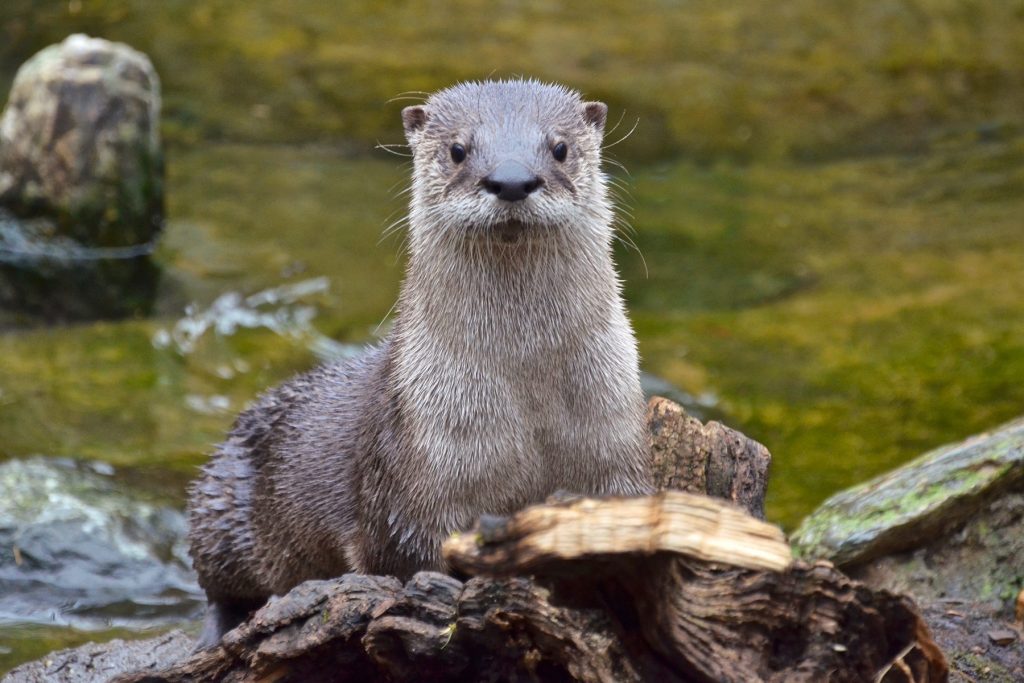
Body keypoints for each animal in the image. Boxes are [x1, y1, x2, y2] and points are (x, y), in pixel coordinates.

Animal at [187, 79, 653, 648]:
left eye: (560, 147)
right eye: (457, 149)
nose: (512, 180)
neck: (525, 397)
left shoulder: (615, 446)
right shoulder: (409, 479)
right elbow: (403, 560)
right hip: (219, 501)